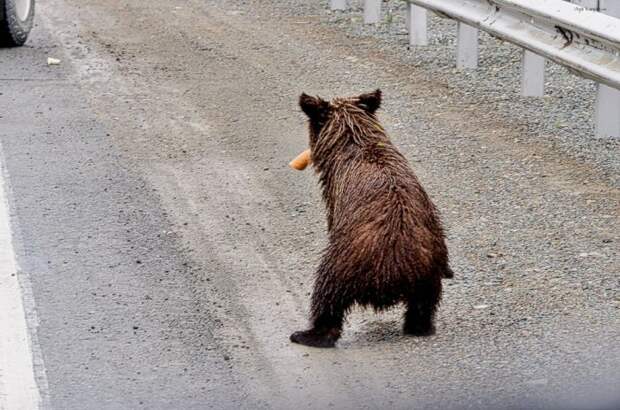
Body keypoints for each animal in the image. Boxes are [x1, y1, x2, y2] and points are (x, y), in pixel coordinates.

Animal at [290, 90, 450, 350]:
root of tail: (395, 270)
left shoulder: (335, 200)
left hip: (346, 261)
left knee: (327, 296)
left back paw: (309, 334)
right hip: (428, 268)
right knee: (423, 305)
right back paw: (420, 326)